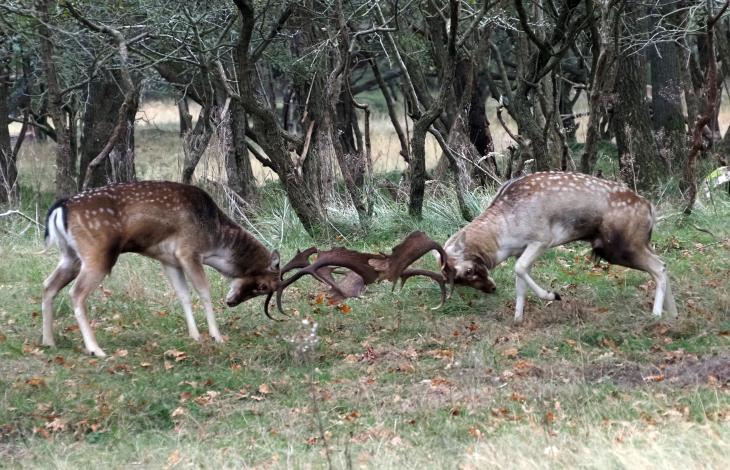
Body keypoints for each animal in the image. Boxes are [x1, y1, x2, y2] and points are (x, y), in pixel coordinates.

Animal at [42, 181, 282, 356]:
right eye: (262, 286)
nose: (232, 302)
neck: (214, 242)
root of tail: (60, 208)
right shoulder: (188, 251)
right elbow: (204, 292)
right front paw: (217, 336)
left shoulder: (168, 260)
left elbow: (183, 295)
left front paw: (195, 336)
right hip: (97, 253)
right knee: (76, 293)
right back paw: (95, 349)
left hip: (70, 256)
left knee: (48, 285)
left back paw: (49, 341)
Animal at [440, 173, 680, 324]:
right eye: (456, 281)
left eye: (468, 270)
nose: (491, 288)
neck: (505, 234)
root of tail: (650, 209)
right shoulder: (520, 249)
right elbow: (520, 281)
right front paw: (518, 319)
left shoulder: (542, 239)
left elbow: (520, 269)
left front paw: (553, 295)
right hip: (633, 245)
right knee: (663, 264)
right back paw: (674, 314)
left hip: (623, 246)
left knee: (659, 266)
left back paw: (657, 315)